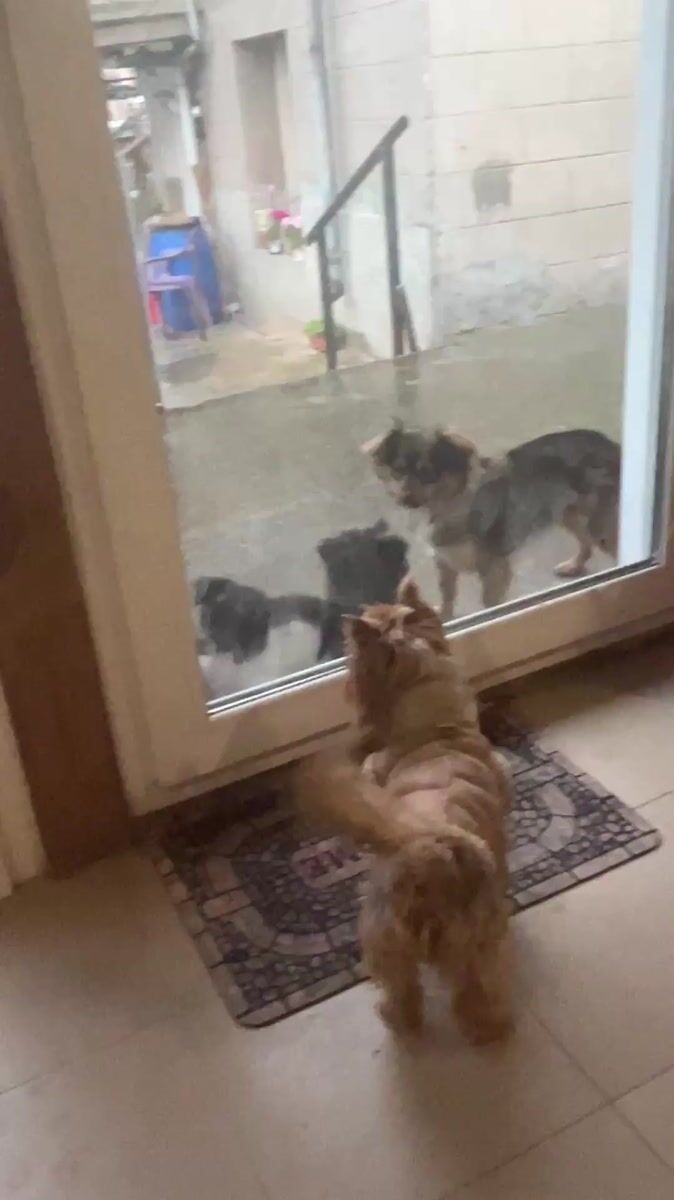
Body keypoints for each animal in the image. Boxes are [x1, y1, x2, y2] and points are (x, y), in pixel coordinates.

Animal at [296, 578, 512, 1043]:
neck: (437, 728)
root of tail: (432, 851)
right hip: (471, 936)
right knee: (472, 987)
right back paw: (490, 1026)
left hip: (383, 932)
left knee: (402, 986)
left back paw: (398, 1019)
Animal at [363, 422, 620, 618]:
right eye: (398, 471)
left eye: (428, 474)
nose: (404, 499)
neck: (449, 505)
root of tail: (611, 443)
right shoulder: (444, 561)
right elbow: (447, 594)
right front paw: (444, 617)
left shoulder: (494, 569)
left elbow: (489, 604)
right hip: (568, 513)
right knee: (586, 541)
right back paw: (575, 565)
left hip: (600, 525)